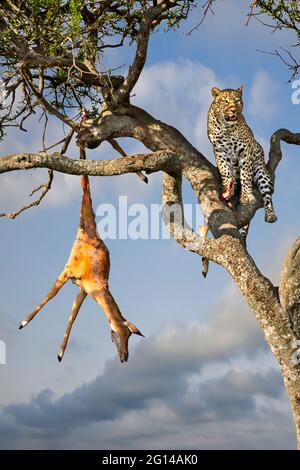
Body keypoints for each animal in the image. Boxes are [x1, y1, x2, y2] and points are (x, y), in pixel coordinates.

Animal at [207, 86, 278, 224]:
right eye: (225, 101)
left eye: (237, 101)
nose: (234, 110)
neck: (226, 128)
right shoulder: (219, 151)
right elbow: (225, 171)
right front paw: (227, 188)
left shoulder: (245, 150)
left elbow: (245, 174)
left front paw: (246, 196)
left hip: (262, 173)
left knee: (267, 197)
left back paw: (270, 215)